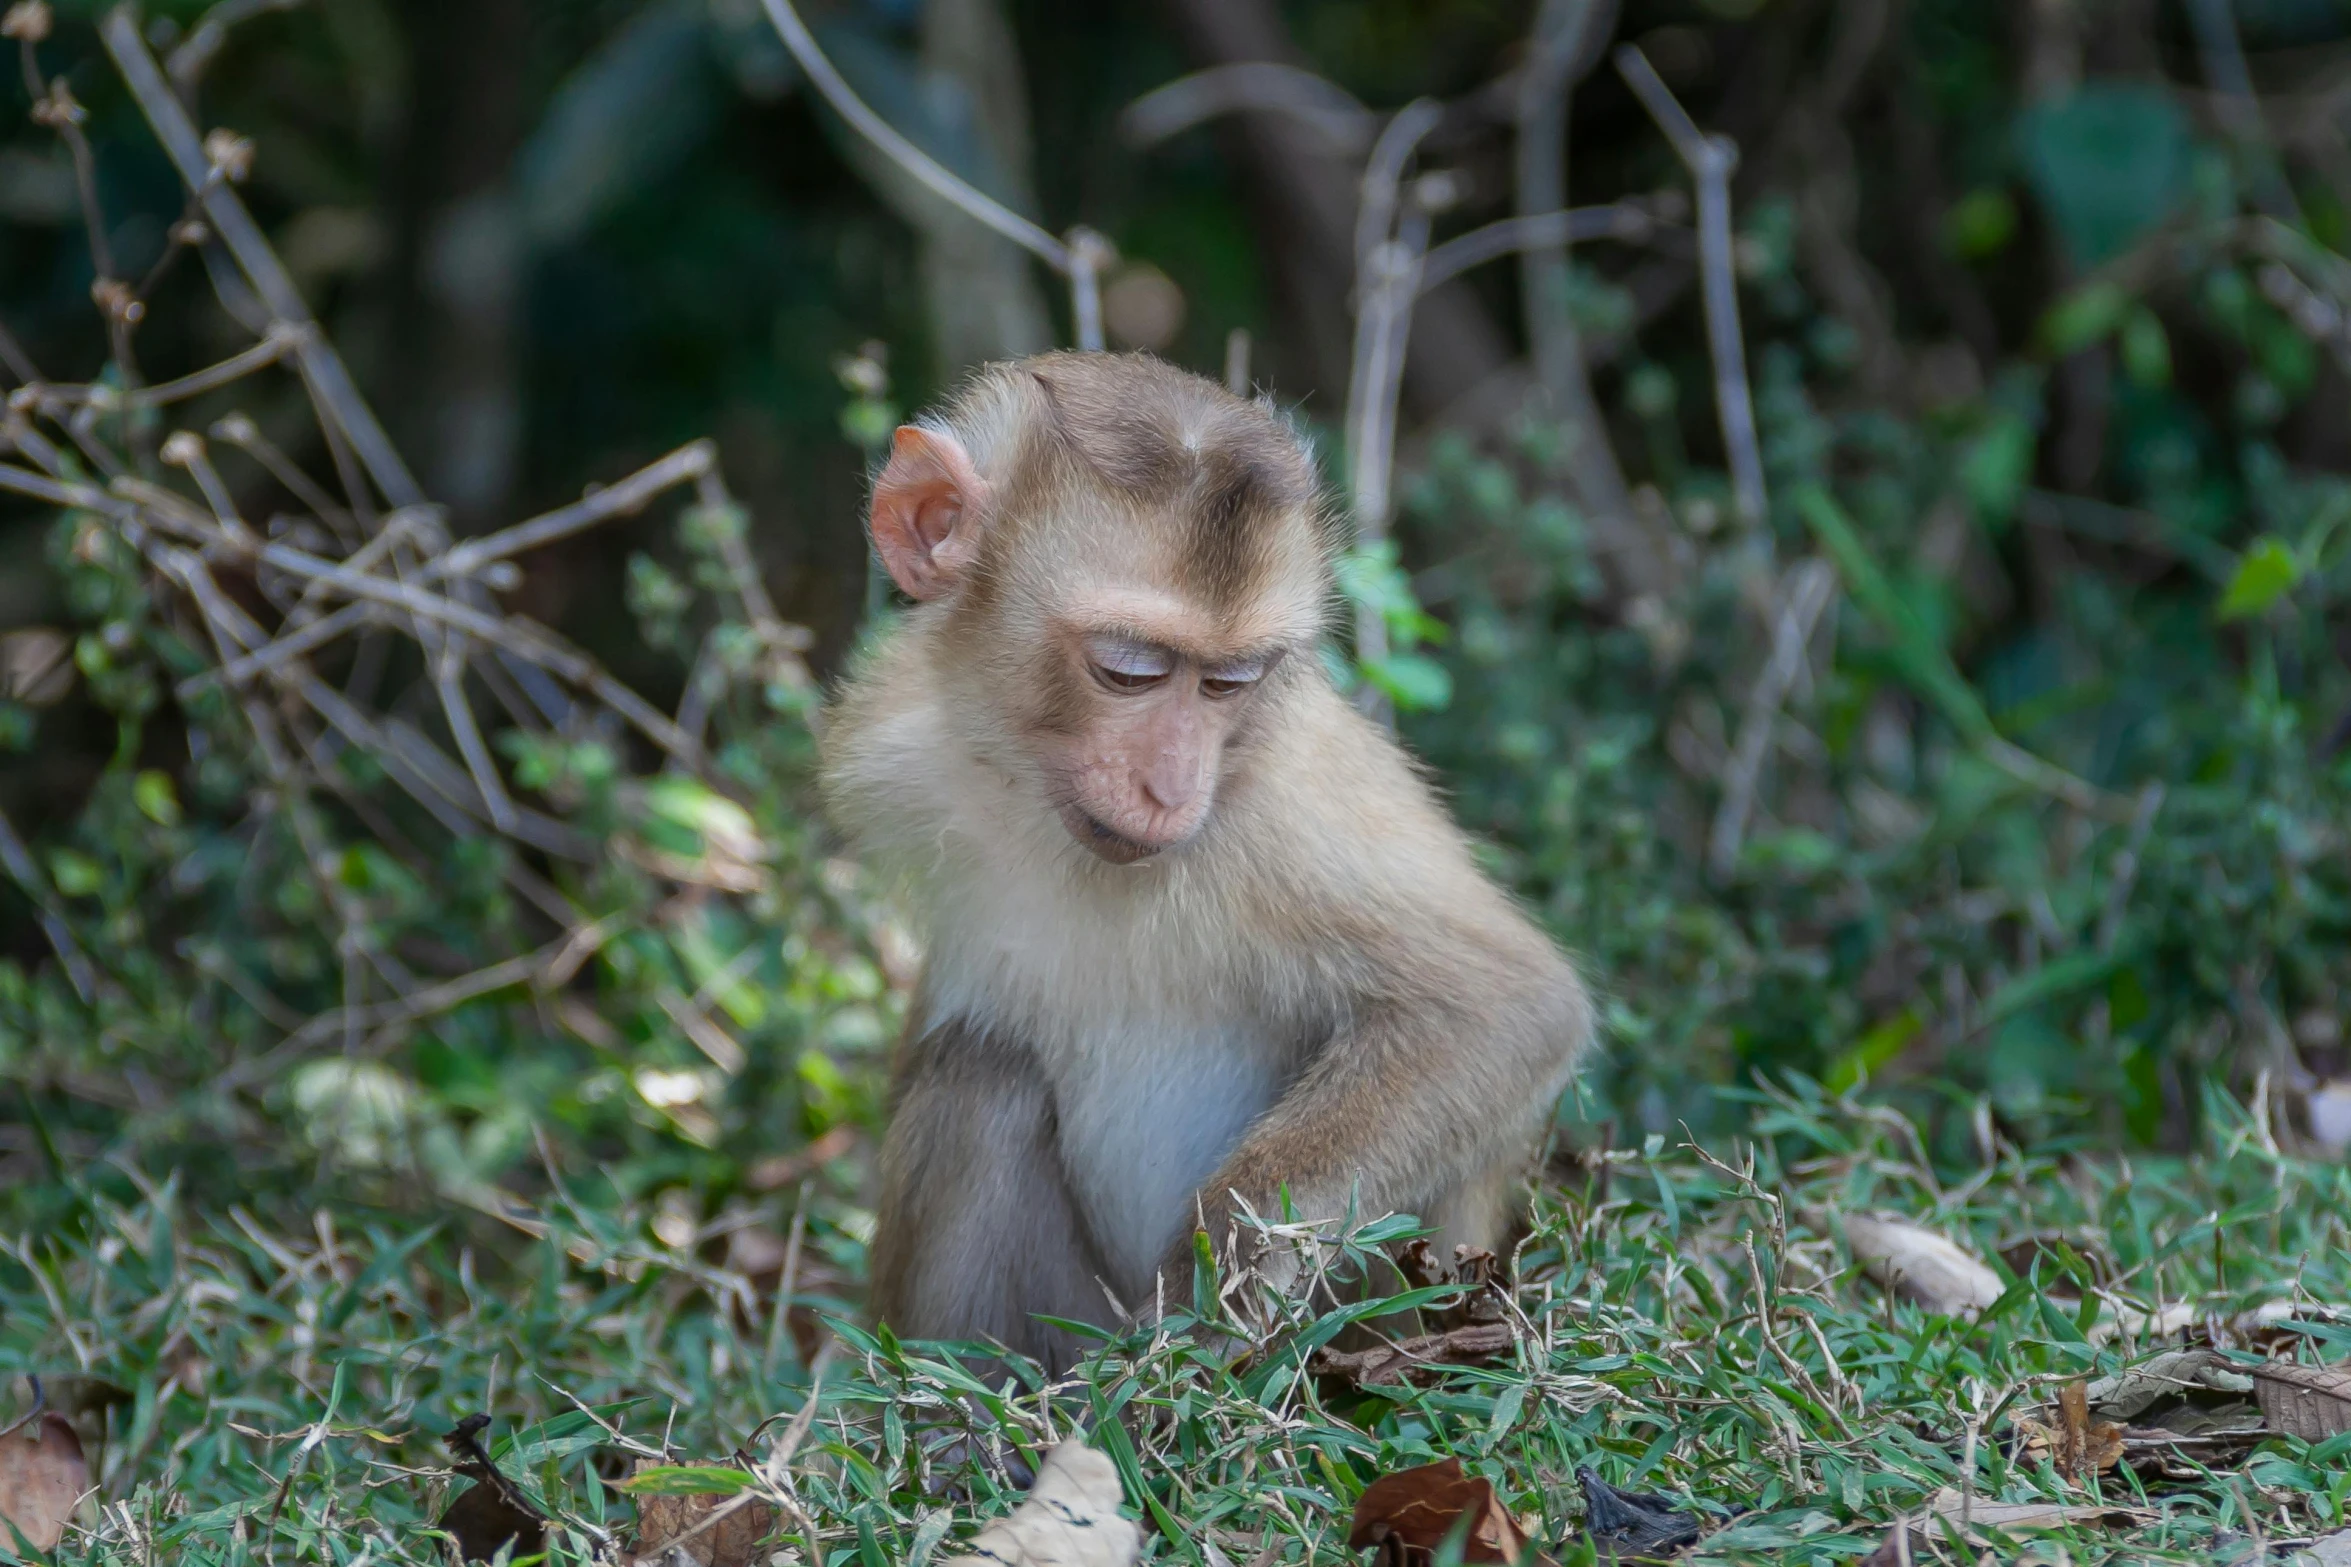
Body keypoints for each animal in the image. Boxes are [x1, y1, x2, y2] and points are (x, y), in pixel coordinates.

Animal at [818, 350, 1589, 1362]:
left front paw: (1206, 1297)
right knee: (979, 1086)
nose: (1173, 788)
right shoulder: (898, 746)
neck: (1038, 799)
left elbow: (1507, 1010)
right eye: (1127, 670)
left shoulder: (1284, 816)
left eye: (1228, 683)